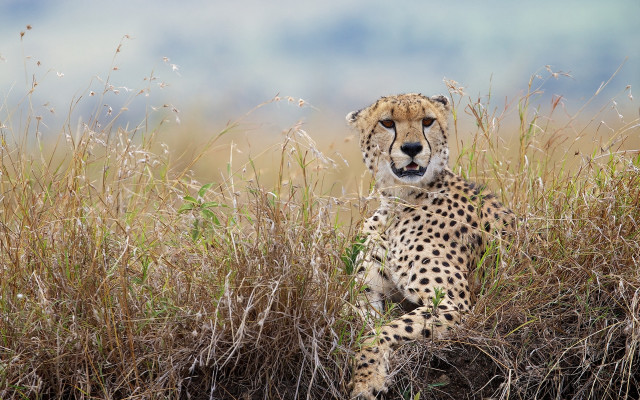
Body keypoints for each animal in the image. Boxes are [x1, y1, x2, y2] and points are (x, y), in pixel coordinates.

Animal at [346, 93, 515, 399]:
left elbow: (381, 332)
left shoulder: (452, 304)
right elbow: (364, 325)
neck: (399, 202)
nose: (412, 148)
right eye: (387, 123)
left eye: (427, 121)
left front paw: (367, 381)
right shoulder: (367, 294)